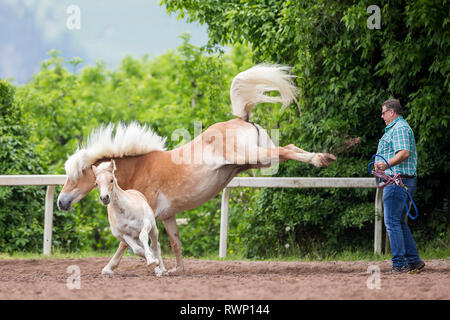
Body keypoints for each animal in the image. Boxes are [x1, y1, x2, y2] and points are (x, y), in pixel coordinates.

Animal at [56, 64, 336, 272]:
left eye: (75, 176)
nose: (60, 202)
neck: (137, 169)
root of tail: (241, 119)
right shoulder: (167, 216)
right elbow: (175, 242)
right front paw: (175, 269)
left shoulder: (146, 217)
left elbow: (128, 246)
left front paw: (112, 268)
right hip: (258, 160)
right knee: (289, 148)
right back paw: (326, 157)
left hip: (253, 155)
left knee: (286, 150)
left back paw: (320, 159)